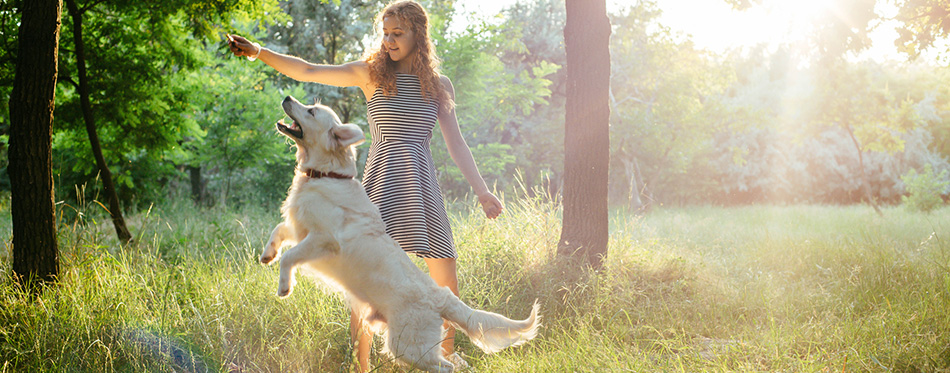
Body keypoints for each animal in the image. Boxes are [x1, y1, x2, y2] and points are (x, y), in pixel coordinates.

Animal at [260, 96, 544, 372]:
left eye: (311, 111)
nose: (287, 97)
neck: (326, 175)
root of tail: (441, 297)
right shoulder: (300, 227)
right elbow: (279, 231)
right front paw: (267, 254)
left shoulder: (323, 239)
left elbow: (290, 257)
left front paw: (284, 286)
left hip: (407, 346)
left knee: (445, 367)